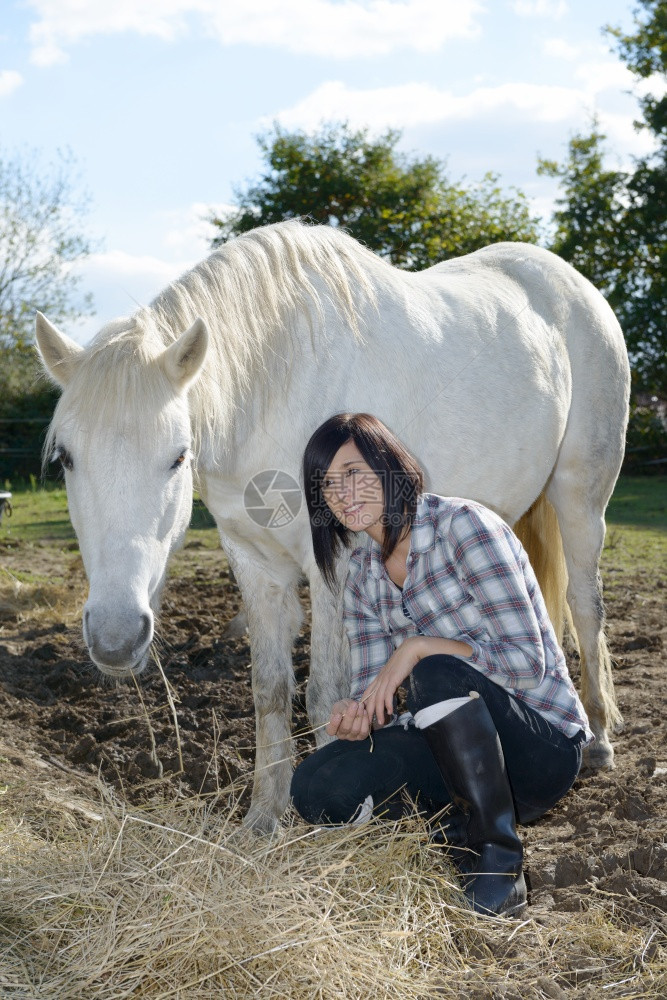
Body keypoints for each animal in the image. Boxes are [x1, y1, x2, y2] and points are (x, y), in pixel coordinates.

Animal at [36, 223, 632, 832]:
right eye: (65, 458)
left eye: (179, 456)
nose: (115, 638)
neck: (275, 389)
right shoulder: (255, 566)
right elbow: (270, 691)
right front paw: (265, 817)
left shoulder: (333, 567)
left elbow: (324, 694)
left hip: (581, 497)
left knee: (585, 607)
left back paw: (599, 739)